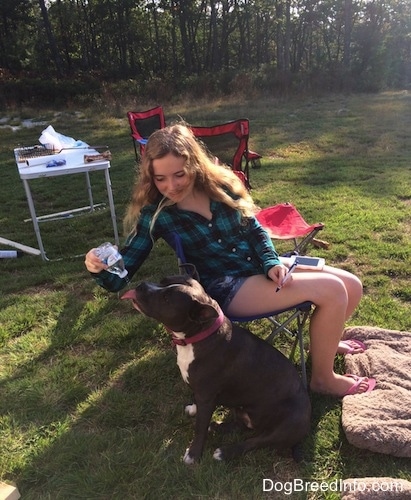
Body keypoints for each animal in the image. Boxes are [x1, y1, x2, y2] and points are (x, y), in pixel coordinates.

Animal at [122, 276, 312, 462]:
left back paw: (224, 452)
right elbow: (199, 413)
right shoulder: (203, 394)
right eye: (163, 282)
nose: (141, 285)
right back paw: (216, 427)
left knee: (254, 442)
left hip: (284, 428)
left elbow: (199, 427)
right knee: (242, 426)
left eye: (166, 299)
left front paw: (193, 455)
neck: (200, 334)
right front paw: (194, 410)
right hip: (241, 408)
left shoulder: (206, 396)